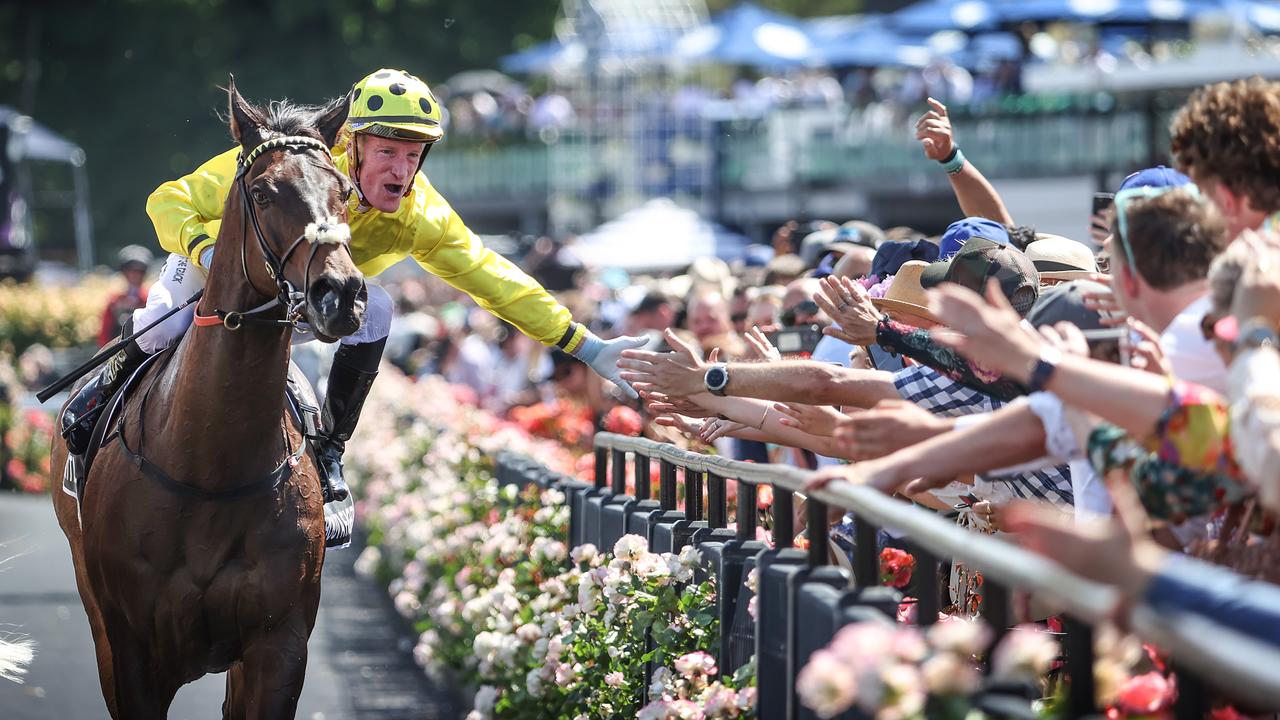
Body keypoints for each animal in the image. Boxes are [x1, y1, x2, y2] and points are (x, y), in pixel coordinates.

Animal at [50, 79, 366, 717]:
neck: (211, 469)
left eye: (344, 191)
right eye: (264, 192)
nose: (340, 293)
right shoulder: (132, 652)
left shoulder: (277, 647)